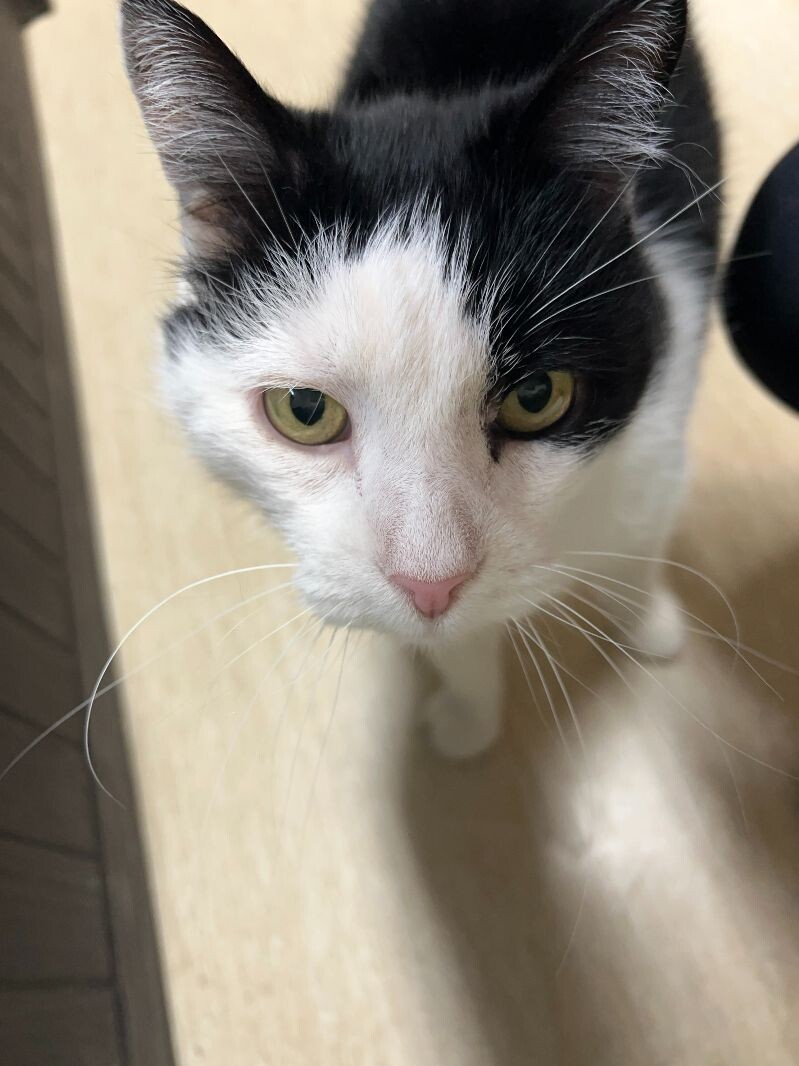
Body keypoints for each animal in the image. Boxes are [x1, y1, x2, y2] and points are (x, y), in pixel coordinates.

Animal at [121, 0, 724, 758]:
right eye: (303, 409)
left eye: (537, 398)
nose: (430, 583)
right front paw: (469, 714)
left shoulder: (656, 435)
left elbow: (637, 543)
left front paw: (646, 622)